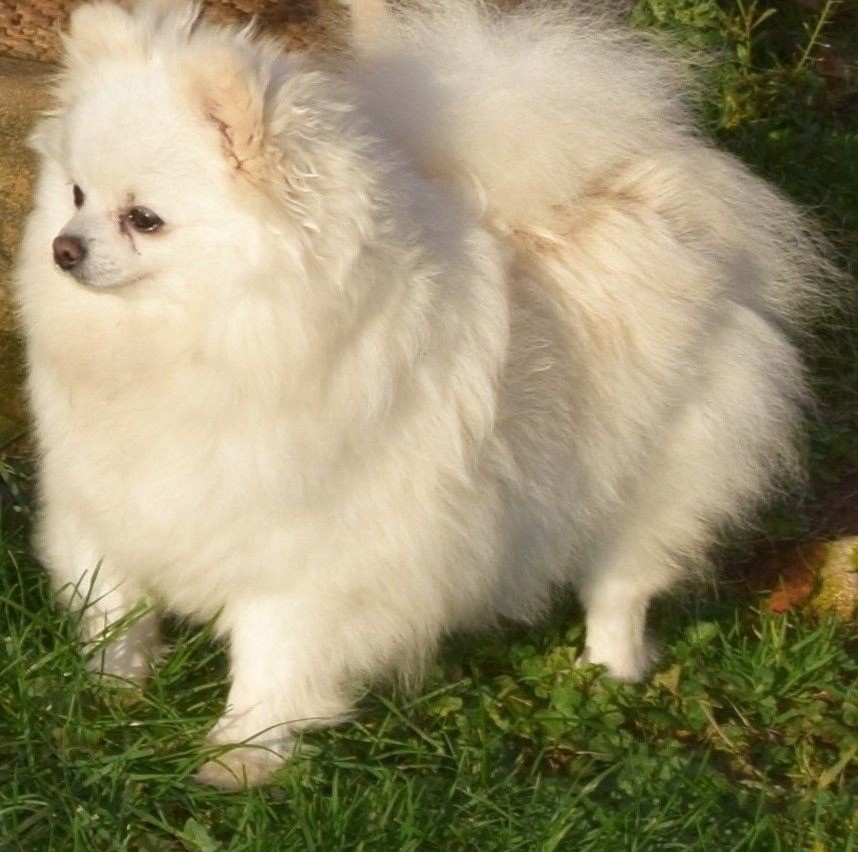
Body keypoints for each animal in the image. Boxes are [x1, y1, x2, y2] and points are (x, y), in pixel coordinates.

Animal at [13, 0, 828, 784]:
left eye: (144, 219)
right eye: (77, 194)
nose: (64, 248)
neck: (200, 337)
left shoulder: (307, 559)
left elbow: (272, 665)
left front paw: (242, 756)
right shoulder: (109, 506)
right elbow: (116, 607)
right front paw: (110, 690)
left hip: (650, 485)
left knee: (621, 586)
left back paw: (610, 669)